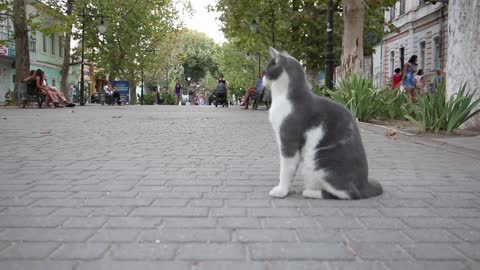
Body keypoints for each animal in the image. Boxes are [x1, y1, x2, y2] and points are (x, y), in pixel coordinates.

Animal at [262, 48, 382, 200]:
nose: (262, 78)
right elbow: (291, 170)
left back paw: (310, 192)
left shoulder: (288, 141)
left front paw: (281, 191)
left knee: (349, 193)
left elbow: (286, 169)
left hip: (319, 164)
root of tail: (365, 184)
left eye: (266, 71)